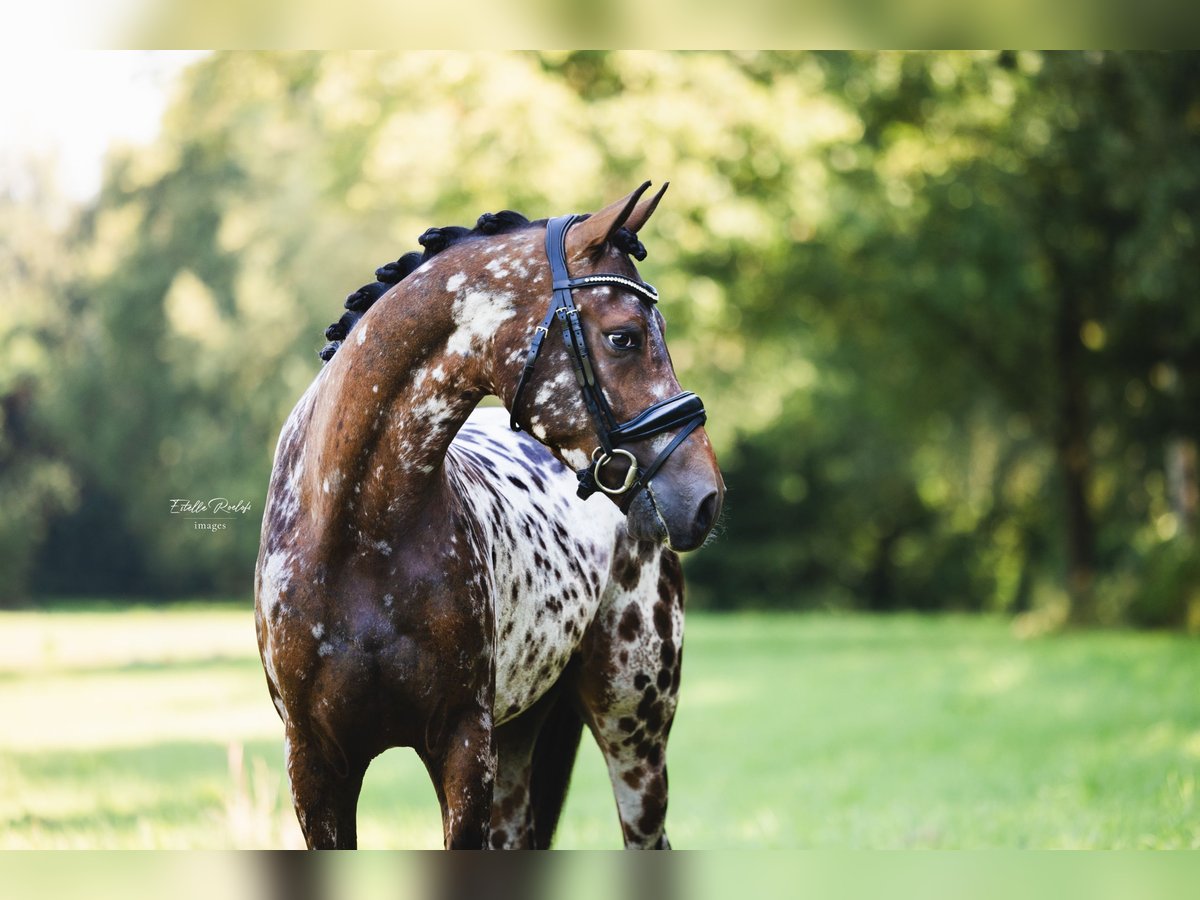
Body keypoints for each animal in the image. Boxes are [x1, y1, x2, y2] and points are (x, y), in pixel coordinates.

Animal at [253, 184, 720, 854]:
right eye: (624, 337)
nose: (705, 496)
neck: (359, 536)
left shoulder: (463, 749)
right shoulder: (315, 766)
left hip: (633, 737)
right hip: (521, 739)